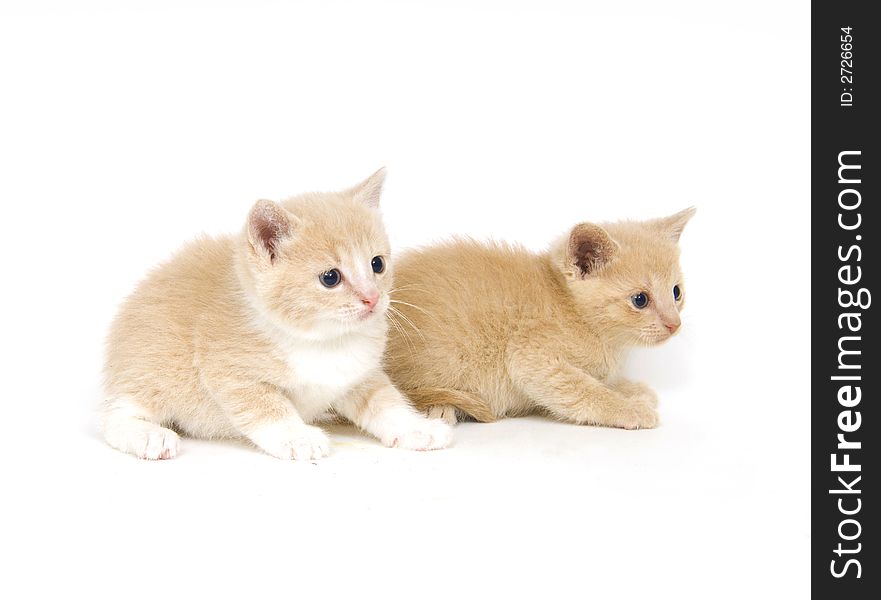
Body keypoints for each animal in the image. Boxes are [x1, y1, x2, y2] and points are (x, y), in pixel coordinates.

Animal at [99, 169, 450, 460]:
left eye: (377, 264)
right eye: (331, 278)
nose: (373, 298)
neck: (322, 340)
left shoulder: (360, 374)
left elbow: (385, 401)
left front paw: (416, 428)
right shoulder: (229, 371)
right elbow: (267, 408)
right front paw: (298, 437)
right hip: (151, 370)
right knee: (111, 416)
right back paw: (148, 435)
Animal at [384, 209, 696, 428]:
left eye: (676, 292)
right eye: (640, 299)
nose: (674, 324)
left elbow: (597, 379)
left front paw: (630, 389)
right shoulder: (529, 355)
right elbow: (583, 390)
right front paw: (629, 409)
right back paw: (439, 409)